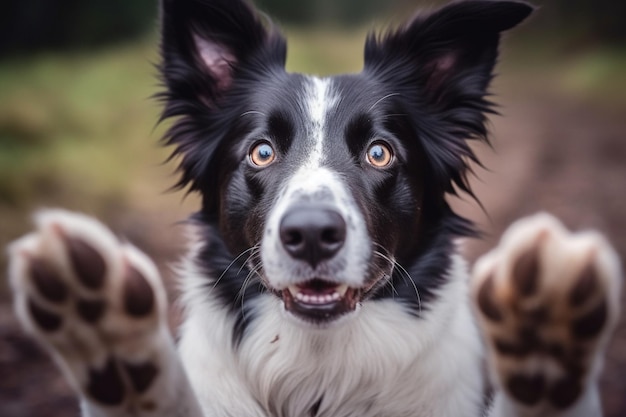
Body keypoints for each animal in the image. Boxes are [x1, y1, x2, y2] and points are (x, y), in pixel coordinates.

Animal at [4, 0, 620, 416]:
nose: (312, 234)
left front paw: (545, 331)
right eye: (261, 150)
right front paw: (105, 333)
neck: (318, 366)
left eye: (379, 152)